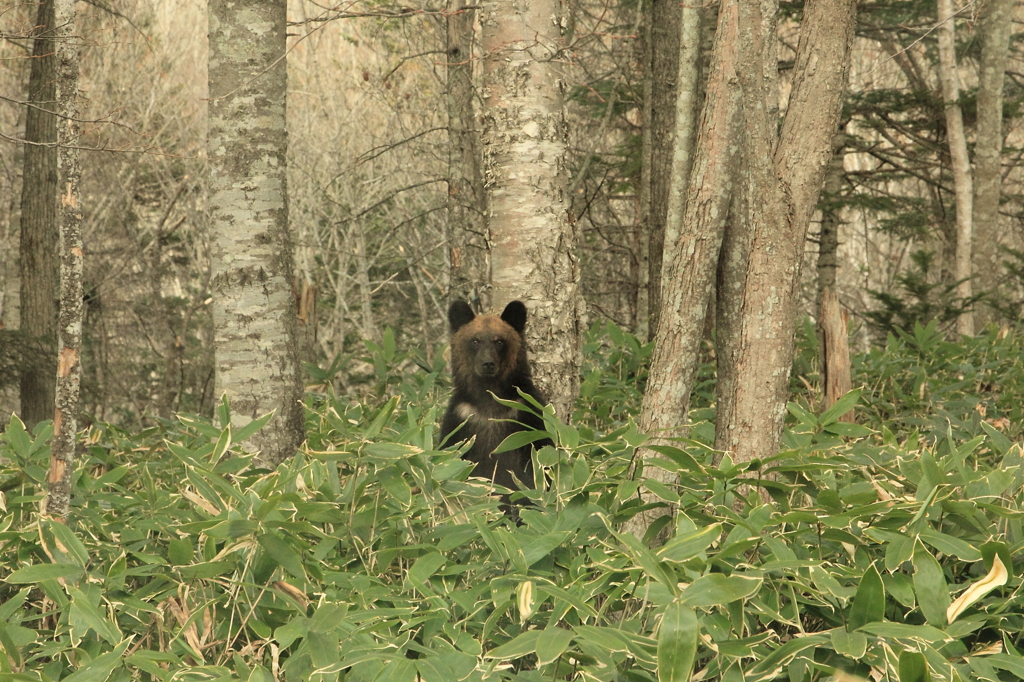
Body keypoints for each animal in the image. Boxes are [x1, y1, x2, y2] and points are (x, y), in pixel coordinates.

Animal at [440, 301, 552, 497]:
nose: (488, 363)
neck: (490, 398)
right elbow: (447, 453)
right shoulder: (461, 417)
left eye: (499, 341)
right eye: (475, 340)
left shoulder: (526, 413)